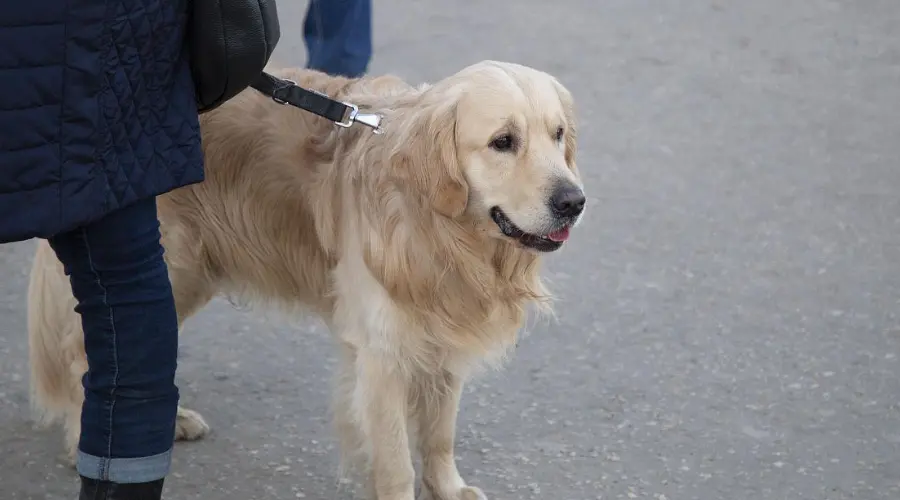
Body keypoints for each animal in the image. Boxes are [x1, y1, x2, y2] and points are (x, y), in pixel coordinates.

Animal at [26, 59, 584, 500]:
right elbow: (396, 463)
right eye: (502, 142)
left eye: (557, 135)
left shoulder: (443, 336)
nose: (574, 202)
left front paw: (447, 487)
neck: (438, 229)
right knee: (83, 357)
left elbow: (440, 432)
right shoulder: (382, 355)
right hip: (166, 264)